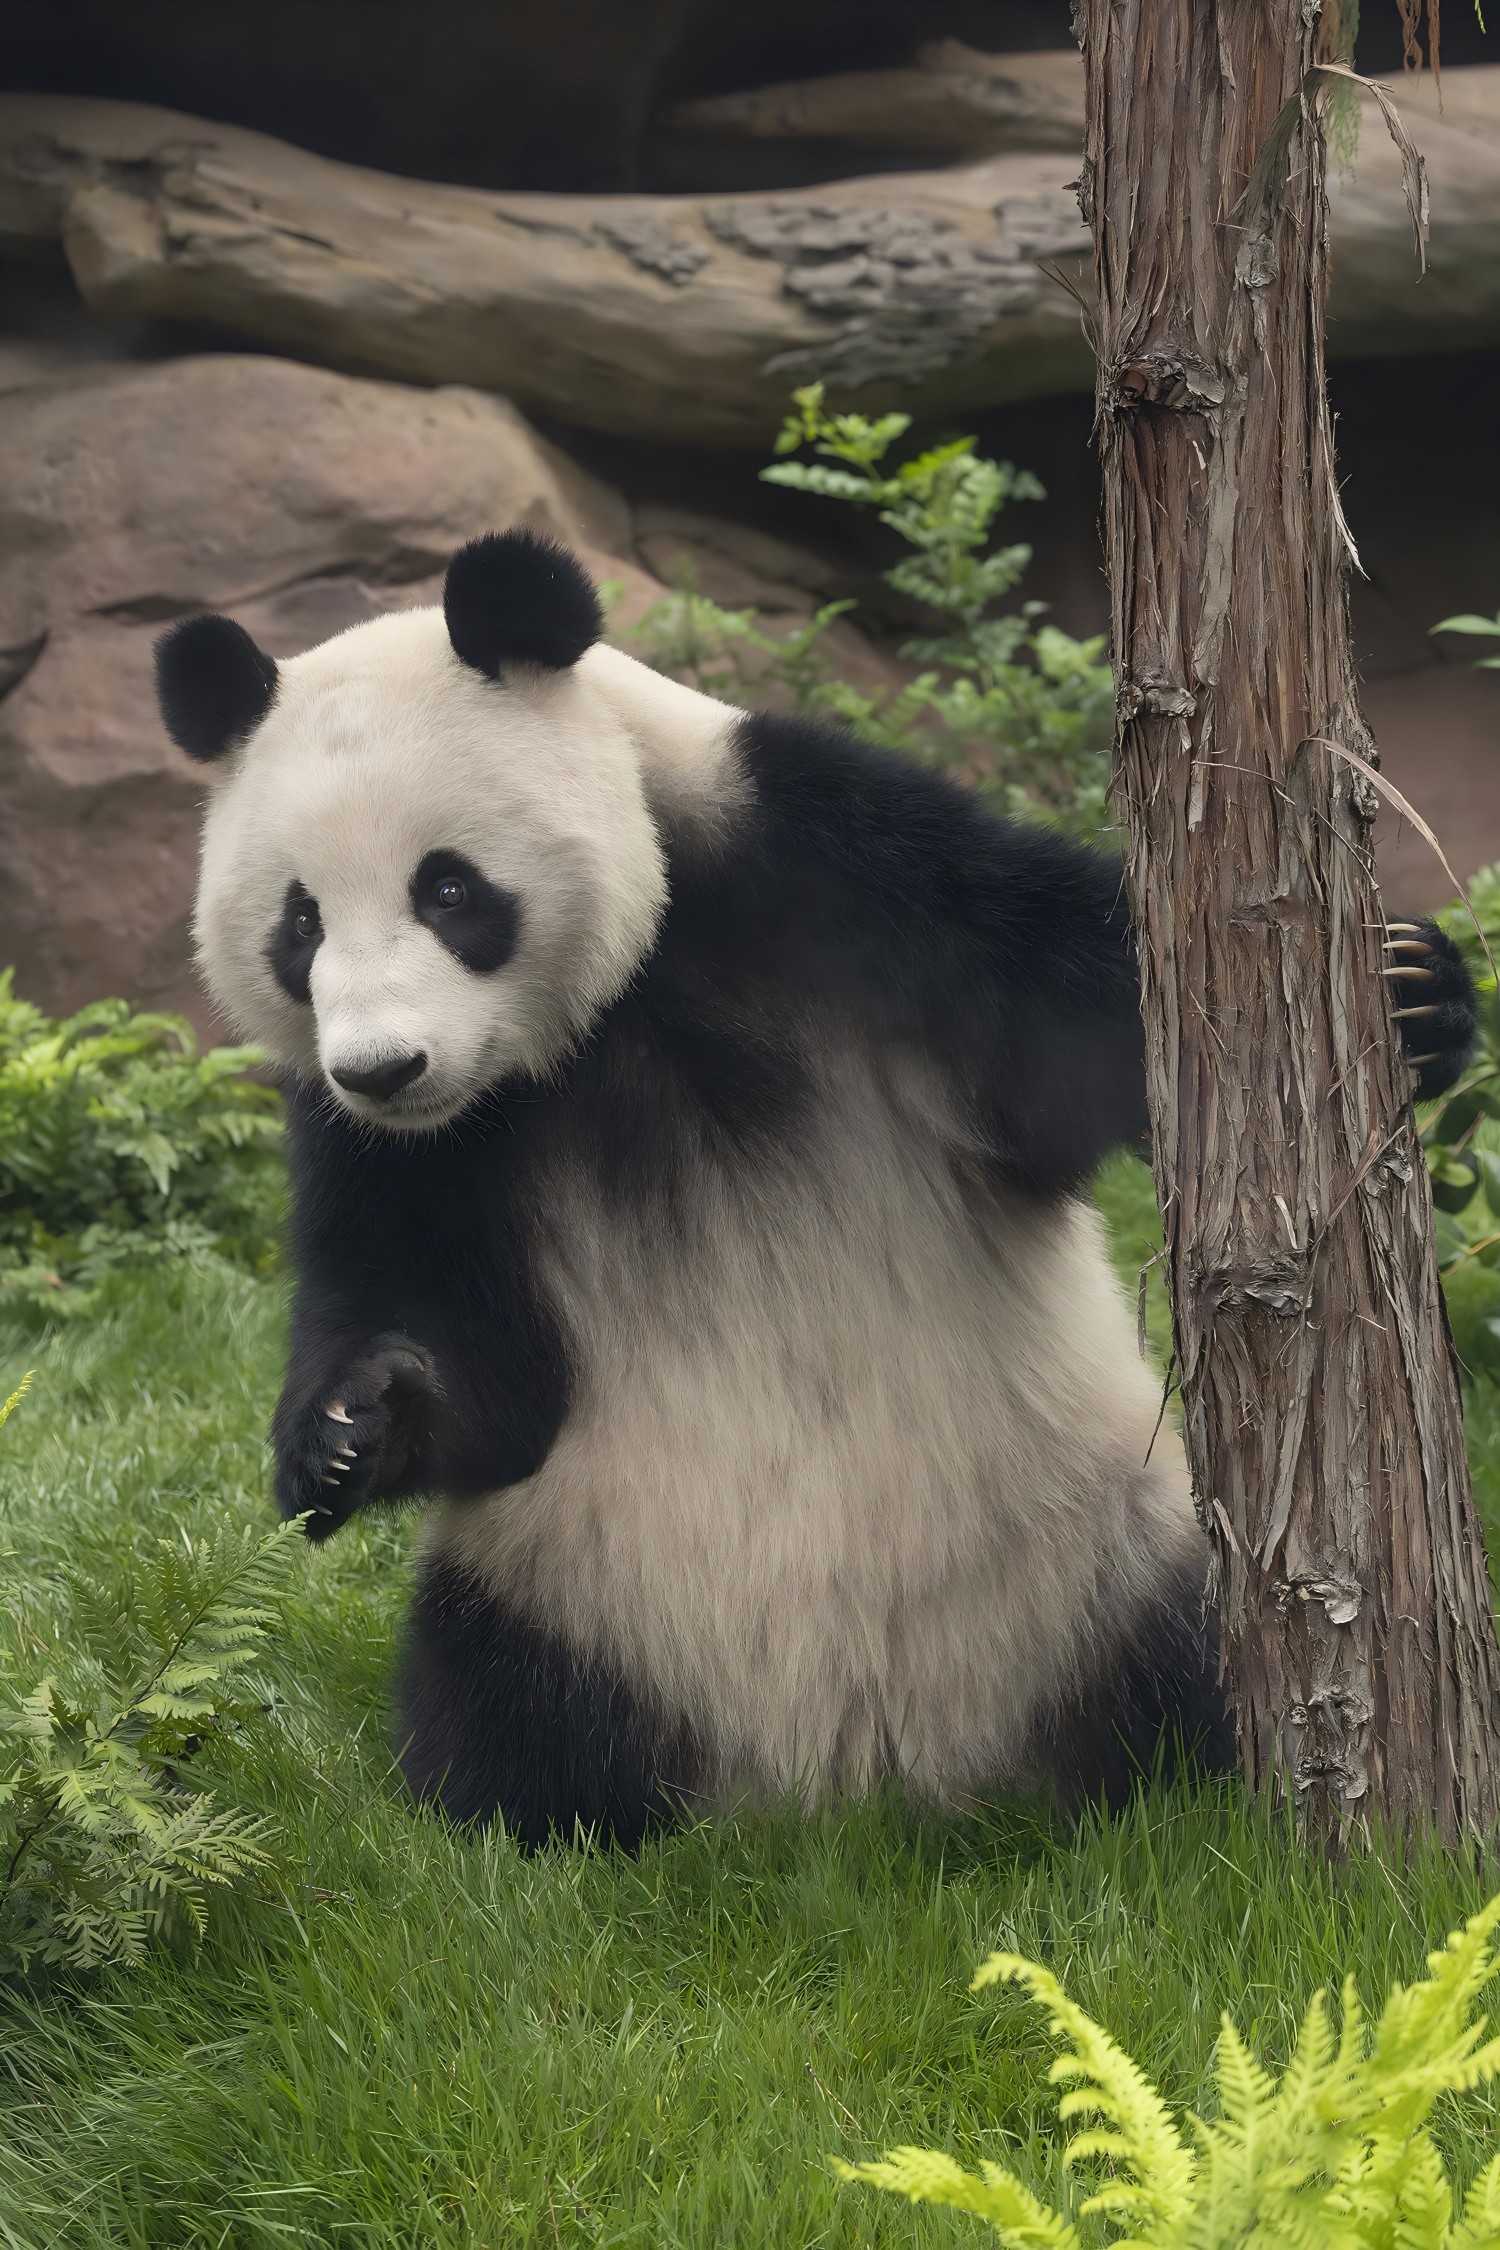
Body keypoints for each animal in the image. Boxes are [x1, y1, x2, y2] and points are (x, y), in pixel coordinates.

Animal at [155, 526, 1475, 1845]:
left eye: (447, 889)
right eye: (300, 923)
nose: (384, 1068)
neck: (608, 1015)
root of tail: (843, 1792)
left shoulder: (825, 857)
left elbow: (1099, 1019)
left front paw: (1413, 993)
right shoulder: (394, 1147)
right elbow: (464, 1354)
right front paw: (350, 1429)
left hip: (1099, 1551)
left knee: (1184, 1662)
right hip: (569, 1592)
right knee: (486, 1705)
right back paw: (543, 1813)